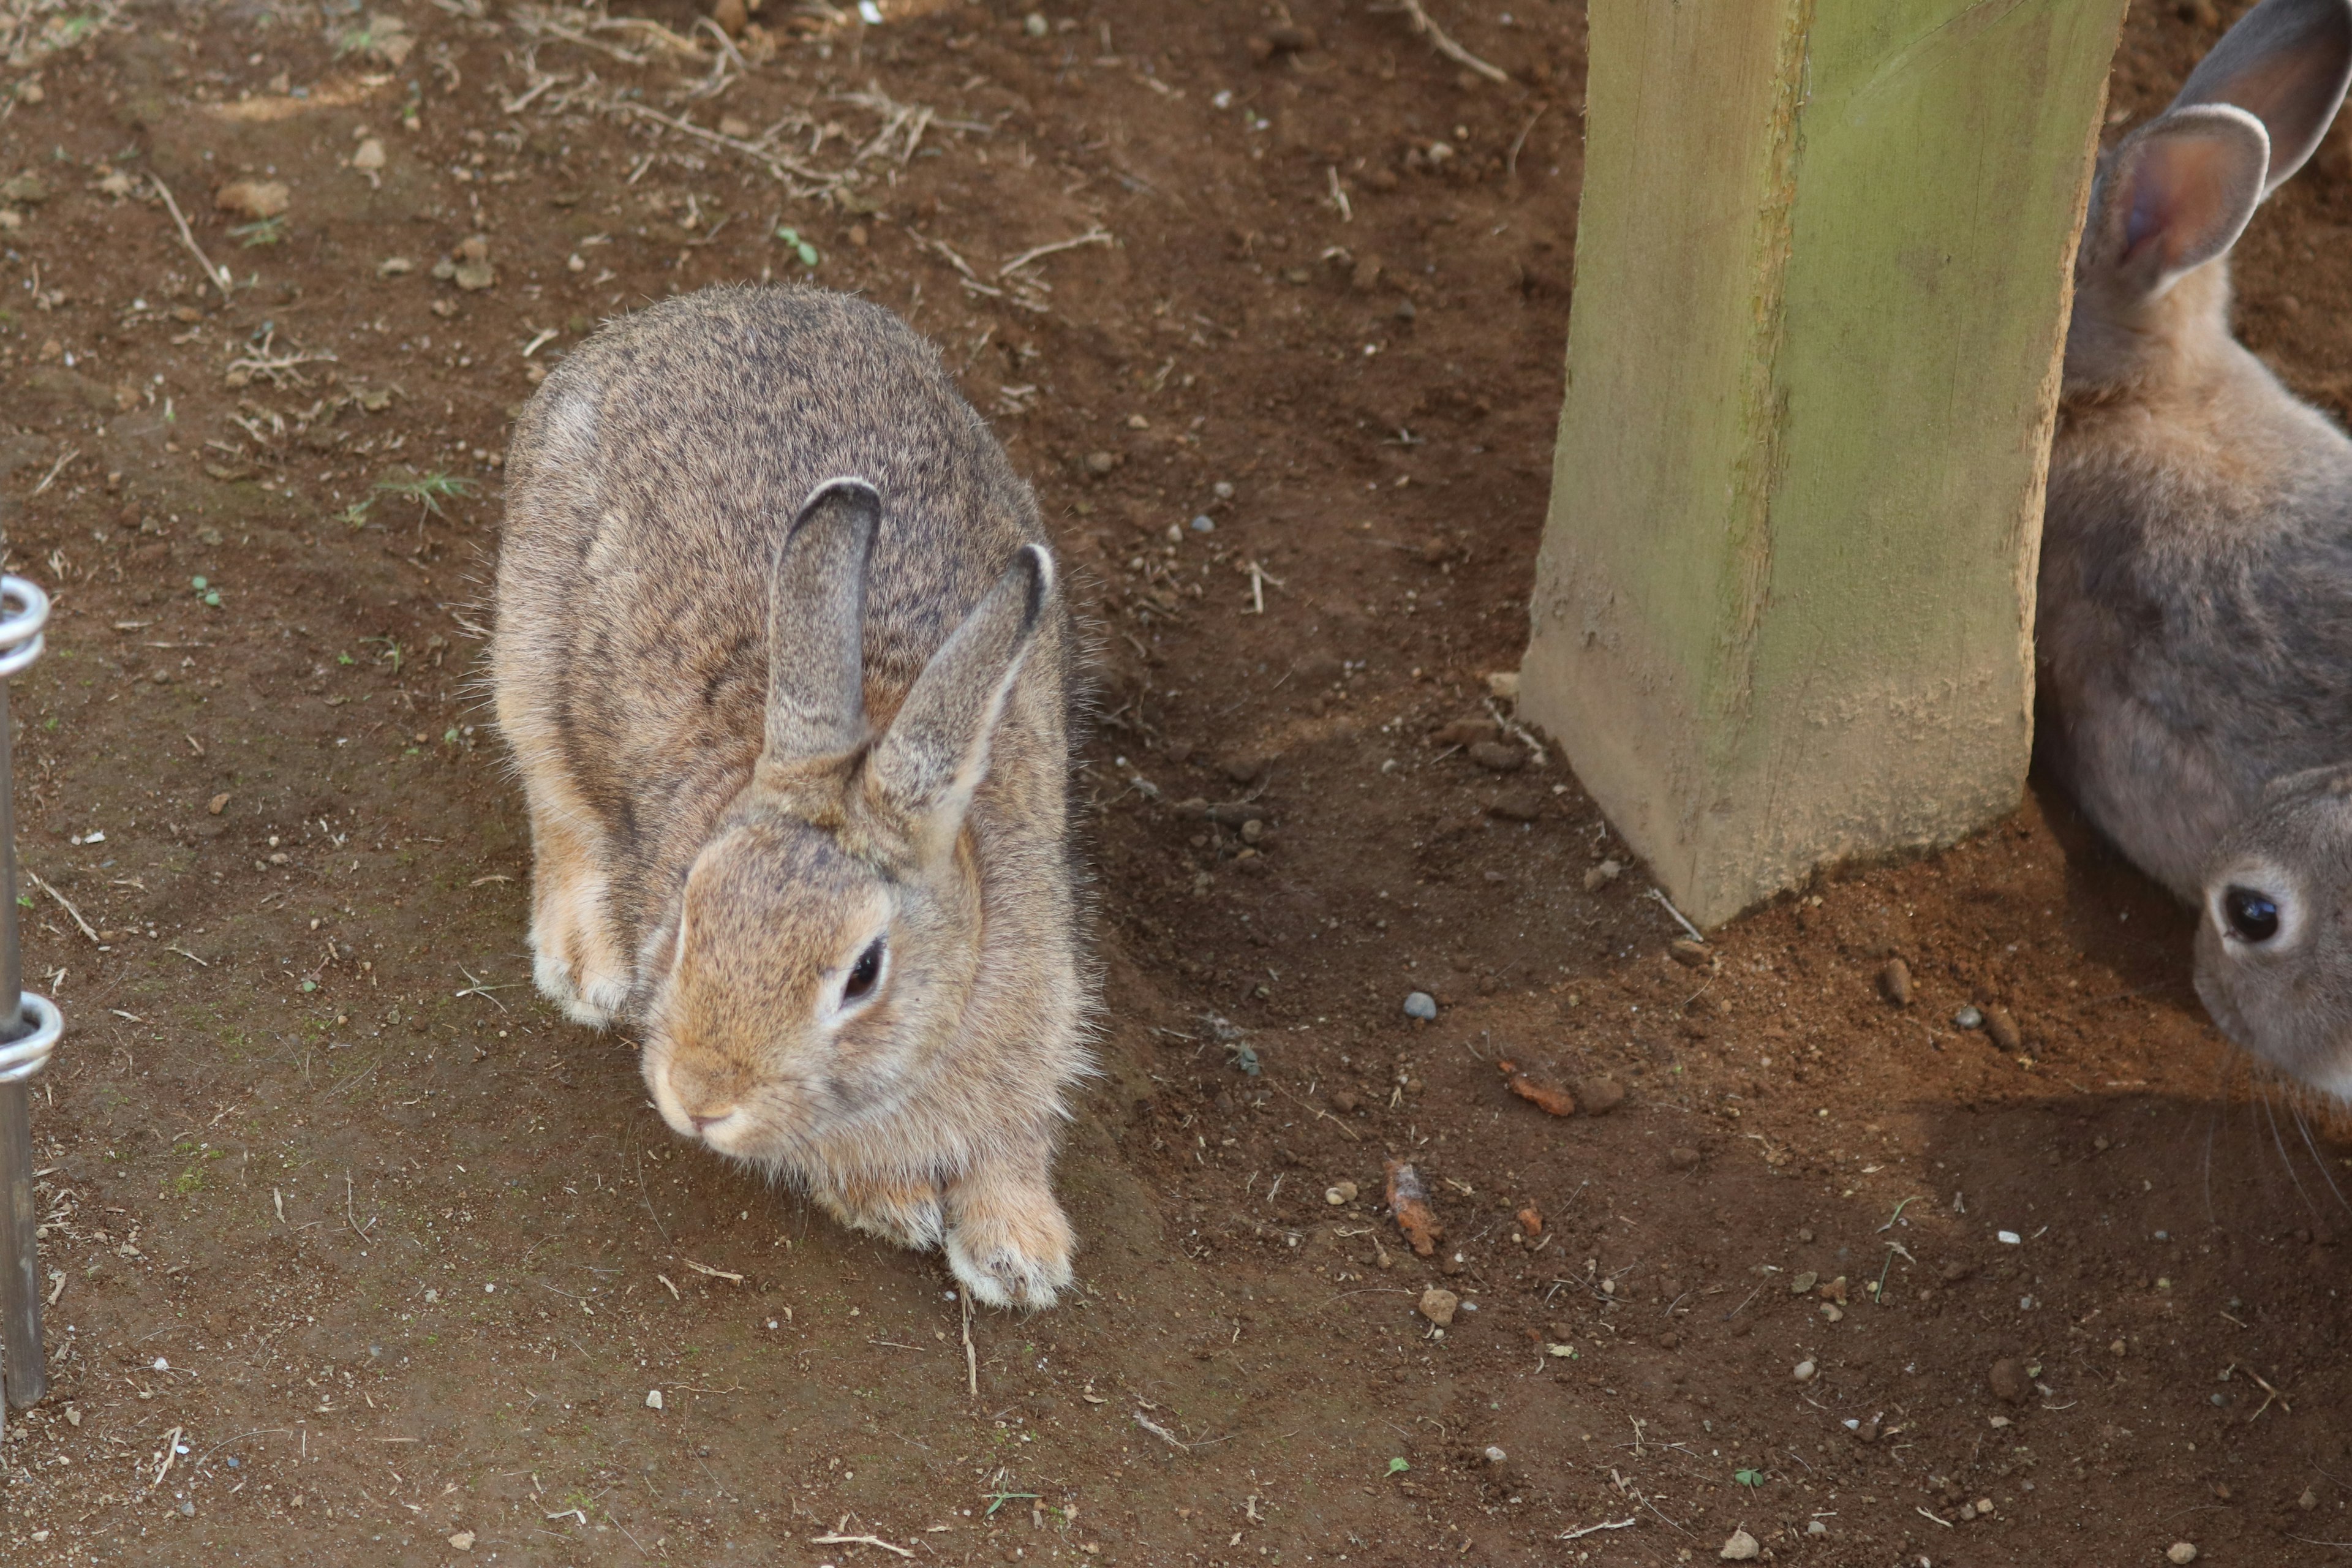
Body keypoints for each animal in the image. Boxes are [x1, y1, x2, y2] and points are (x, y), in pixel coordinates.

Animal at [494, 285, 1091, 1316]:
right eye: (691, 915)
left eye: (864, 973)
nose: (700, 1099)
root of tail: (674, 319)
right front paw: (897, 1205)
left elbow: (1014, 1138)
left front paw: (1021, 1255)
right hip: (527, 655)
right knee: (559, 803)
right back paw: (586, 968)